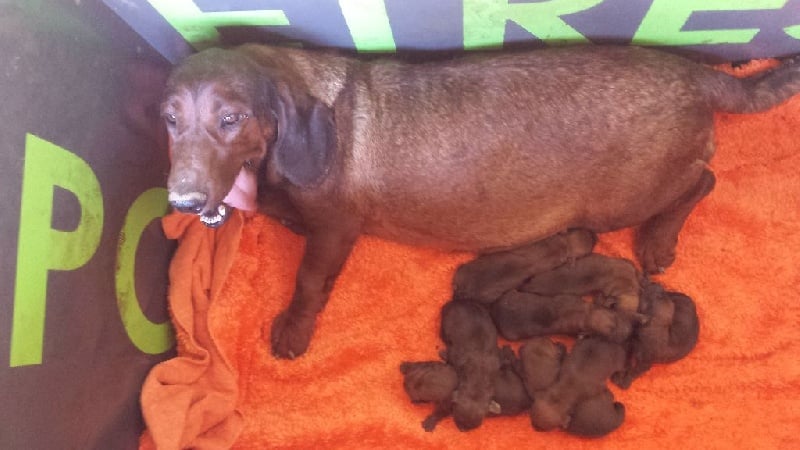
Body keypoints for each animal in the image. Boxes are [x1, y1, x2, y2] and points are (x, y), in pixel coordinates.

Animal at [490, 290, 636, 342]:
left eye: (615, 316)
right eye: (606, 336)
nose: (629, 332)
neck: (586, 315)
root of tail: (495, 310)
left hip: (511, 295)